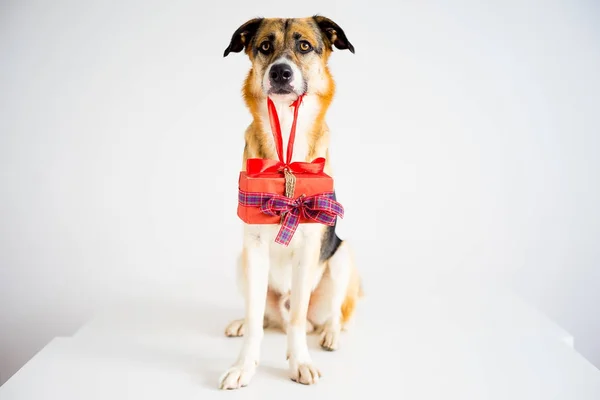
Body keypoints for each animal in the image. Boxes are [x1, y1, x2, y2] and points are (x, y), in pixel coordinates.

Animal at [219, 16, 360, 390]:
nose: (281, 72)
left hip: (342, 259)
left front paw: (300, 362)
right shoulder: (253, 246)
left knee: (328, 316)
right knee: (264, 317)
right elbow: (255, 318)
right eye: (265, 46)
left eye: (304, 46)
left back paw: (330, 335)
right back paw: (242, 323)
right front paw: (243, 366)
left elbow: (297, 320)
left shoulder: (309, 247)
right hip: (241, 263)